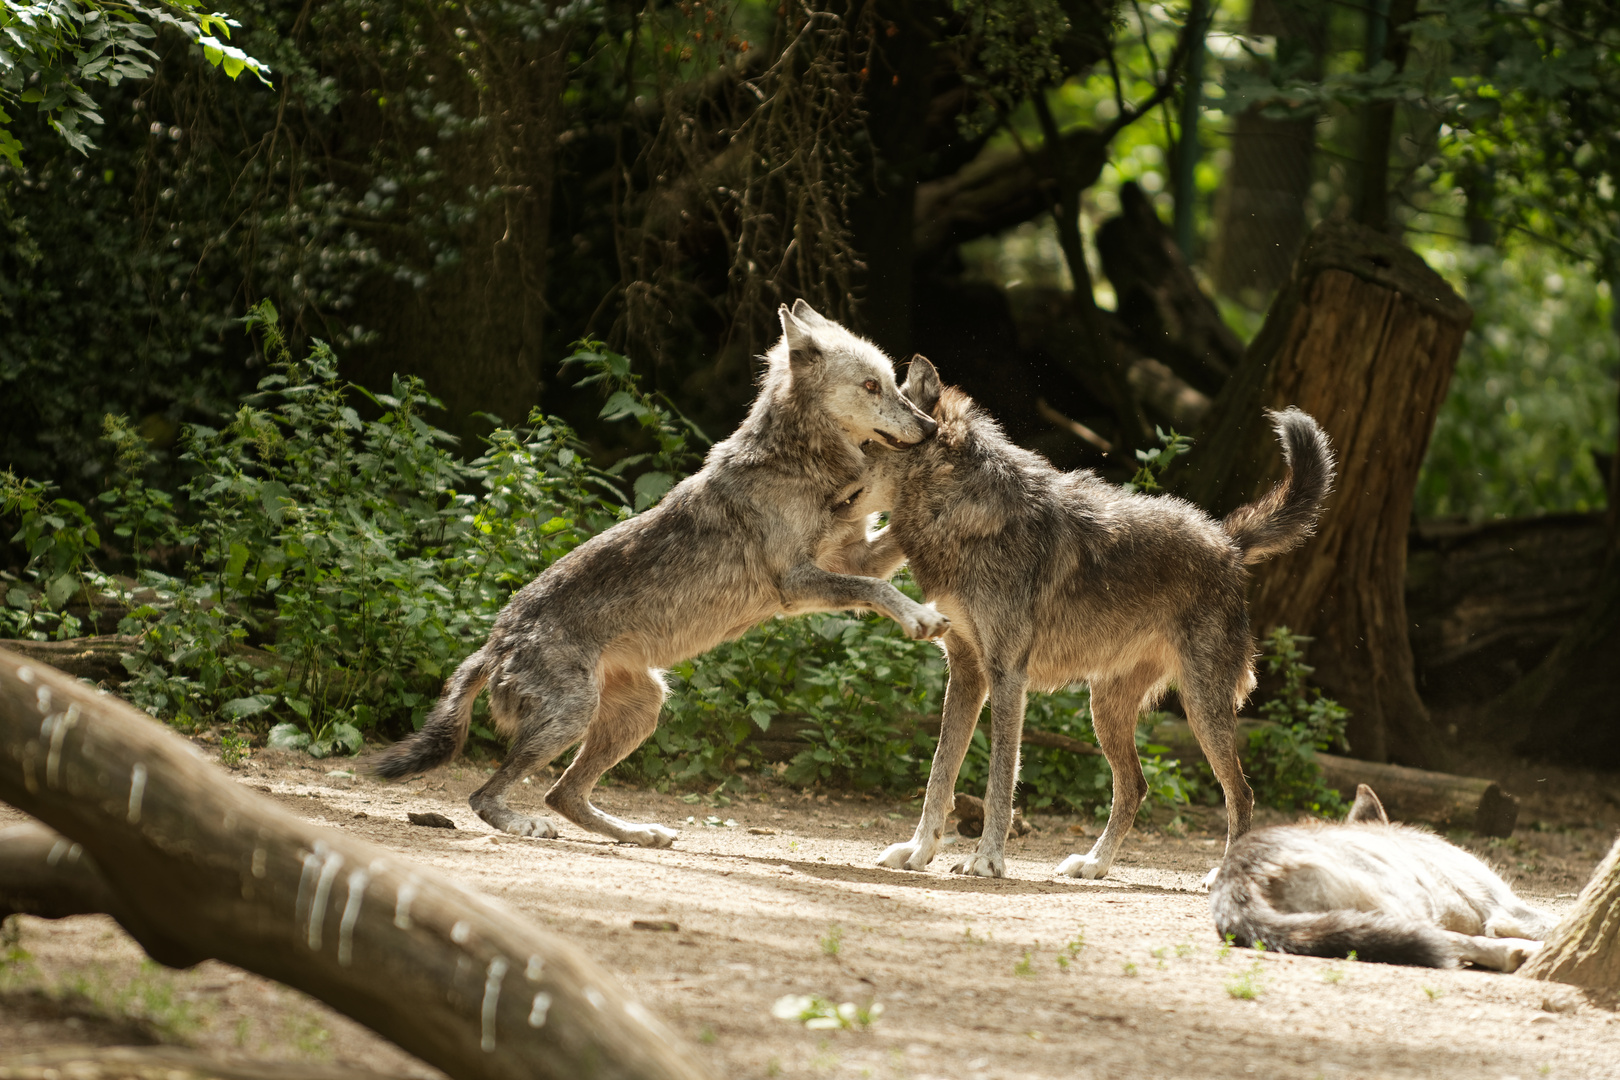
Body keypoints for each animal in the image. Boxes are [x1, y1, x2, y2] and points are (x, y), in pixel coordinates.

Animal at [370, 302, 946, 841]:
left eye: (894, 383)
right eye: (871, 386)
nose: (932, 427)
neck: (800, 464)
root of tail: (493, 645)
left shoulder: (850, 558)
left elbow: (886, 559)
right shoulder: (798, 583)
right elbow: (873, 589)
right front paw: (921, 619)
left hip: (642, 709)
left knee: (562, 794)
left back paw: (638, 834)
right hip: (574, 716)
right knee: (487, 794)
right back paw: (524, 824)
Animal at [842, 359, 1334, 880]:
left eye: (865, 442)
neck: (963, 515)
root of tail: (1228, 543)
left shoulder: (1007, 676)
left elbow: (999, 779)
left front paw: (987, 859)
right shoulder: (966, 672)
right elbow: (940, 773)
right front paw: (917, 851)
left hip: (1202, 710)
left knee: (1241, 793)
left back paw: (1222, 873)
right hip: (1107, 709)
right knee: (1136, 785)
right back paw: (1094, 864)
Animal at [1218, 786, 1555, 971]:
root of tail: (1236, 875)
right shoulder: (1504, 909)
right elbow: (1551, 922)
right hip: (1409, 899)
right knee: (1439, 938)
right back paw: (1518, 953)